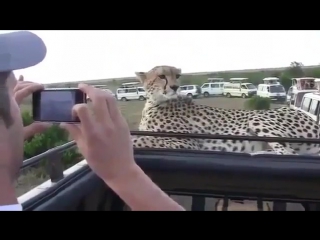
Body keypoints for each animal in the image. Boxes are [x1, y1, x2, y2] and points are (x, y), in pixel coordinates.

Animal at [131, 65, 320, 156]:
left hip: (257, 119)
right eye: (161, 76)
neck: (155, 102)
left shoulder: (188, 143)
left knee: (289, 153)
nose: (175, 87)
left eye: (177, 76)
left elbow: (145, 140)